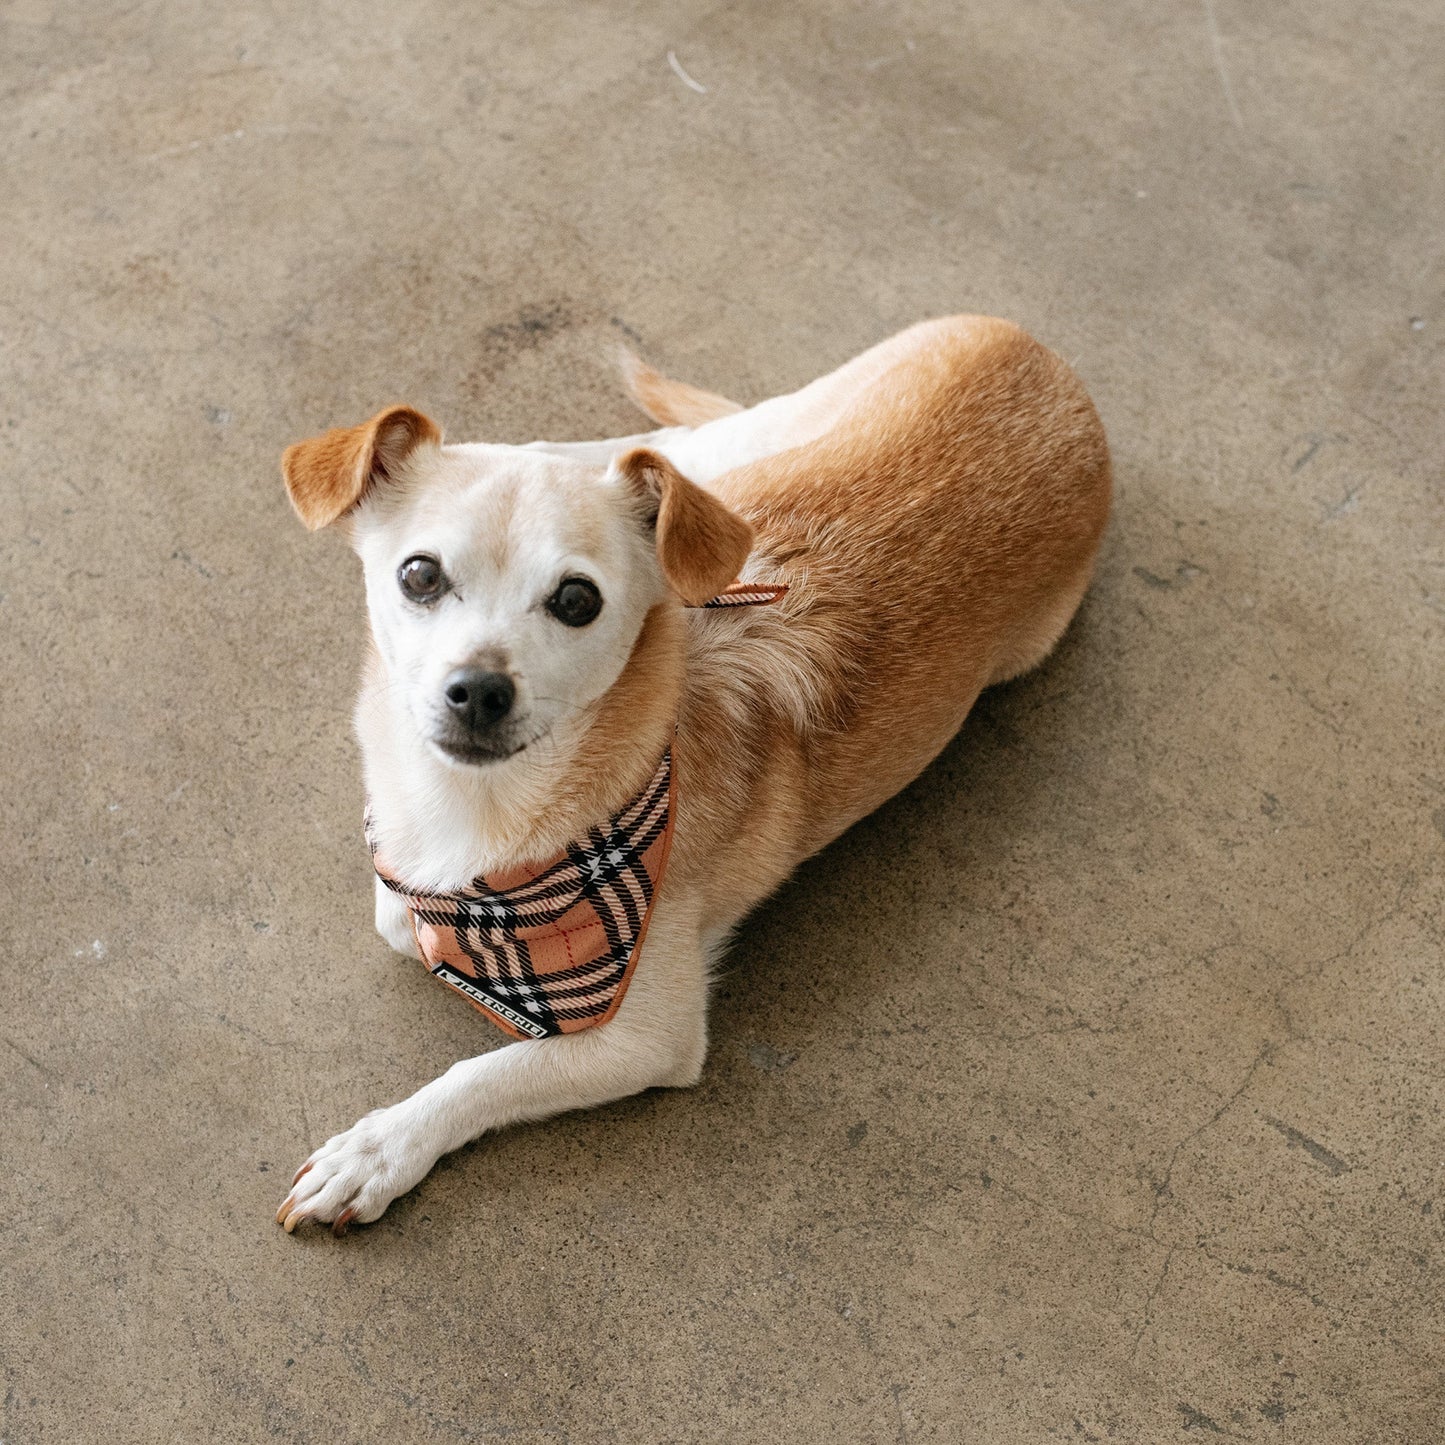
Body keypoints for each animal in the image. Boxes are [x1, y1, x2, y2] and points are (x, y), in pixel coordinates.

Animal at [271, 316, 1109, 1231]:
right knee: (650, 446)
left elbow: (483, 1073)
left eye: (576, 601)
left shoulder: (645, 1040)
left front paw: (379, 1149)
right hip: (754, 442)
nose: (479, 692)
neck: (485, 823)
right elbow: (399, 911)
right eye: (419, 575)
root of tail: (1045, 359)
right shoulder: (411, 882)